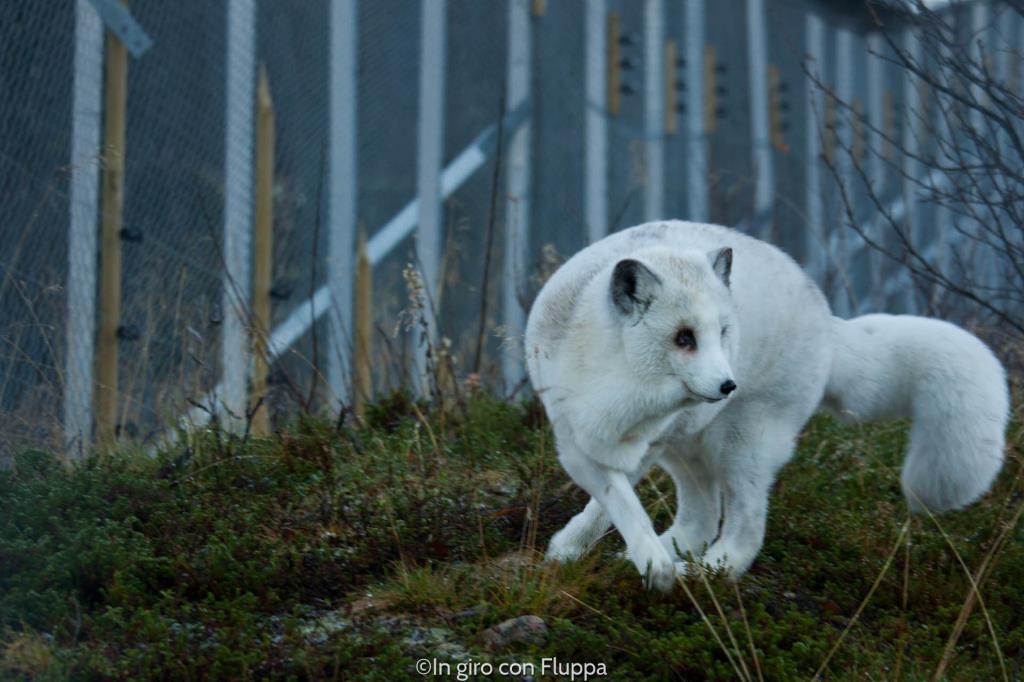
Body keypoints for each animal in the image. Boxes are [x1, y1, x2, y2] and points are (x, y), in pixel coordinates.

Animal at [525, 220, 1009, 590]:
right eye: (684, 337)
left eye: (722, 332)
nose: (728, 385)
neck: (614, 383)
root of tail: (826, 318)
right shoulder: (578, 445)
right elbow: (615, 504)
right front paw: (576, 550)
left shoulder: (643, 444)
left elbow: (623, 506)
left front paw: (653, 567)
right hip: (688, 446)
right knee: (703, 518)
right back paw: (660, 559)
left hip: (743, 443)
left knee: (746, 526)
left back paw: (705, 573)